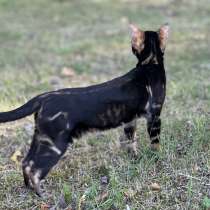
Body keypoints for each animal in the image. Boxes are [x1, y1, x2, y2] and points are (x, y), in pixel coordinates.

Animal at [0, 23, 169, 196]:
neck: (150, 64)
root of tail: (44, 96)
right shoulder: (154, 115)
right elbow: (155, 143)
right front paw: (157, 158)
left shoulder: (129, 120)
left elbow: (131, 142)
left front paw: (134, 159)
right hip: (55, 144)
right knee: (34, 168)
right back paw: (41, 194)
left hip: (41, 137)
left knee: (26, 162)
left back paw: (29, 188)